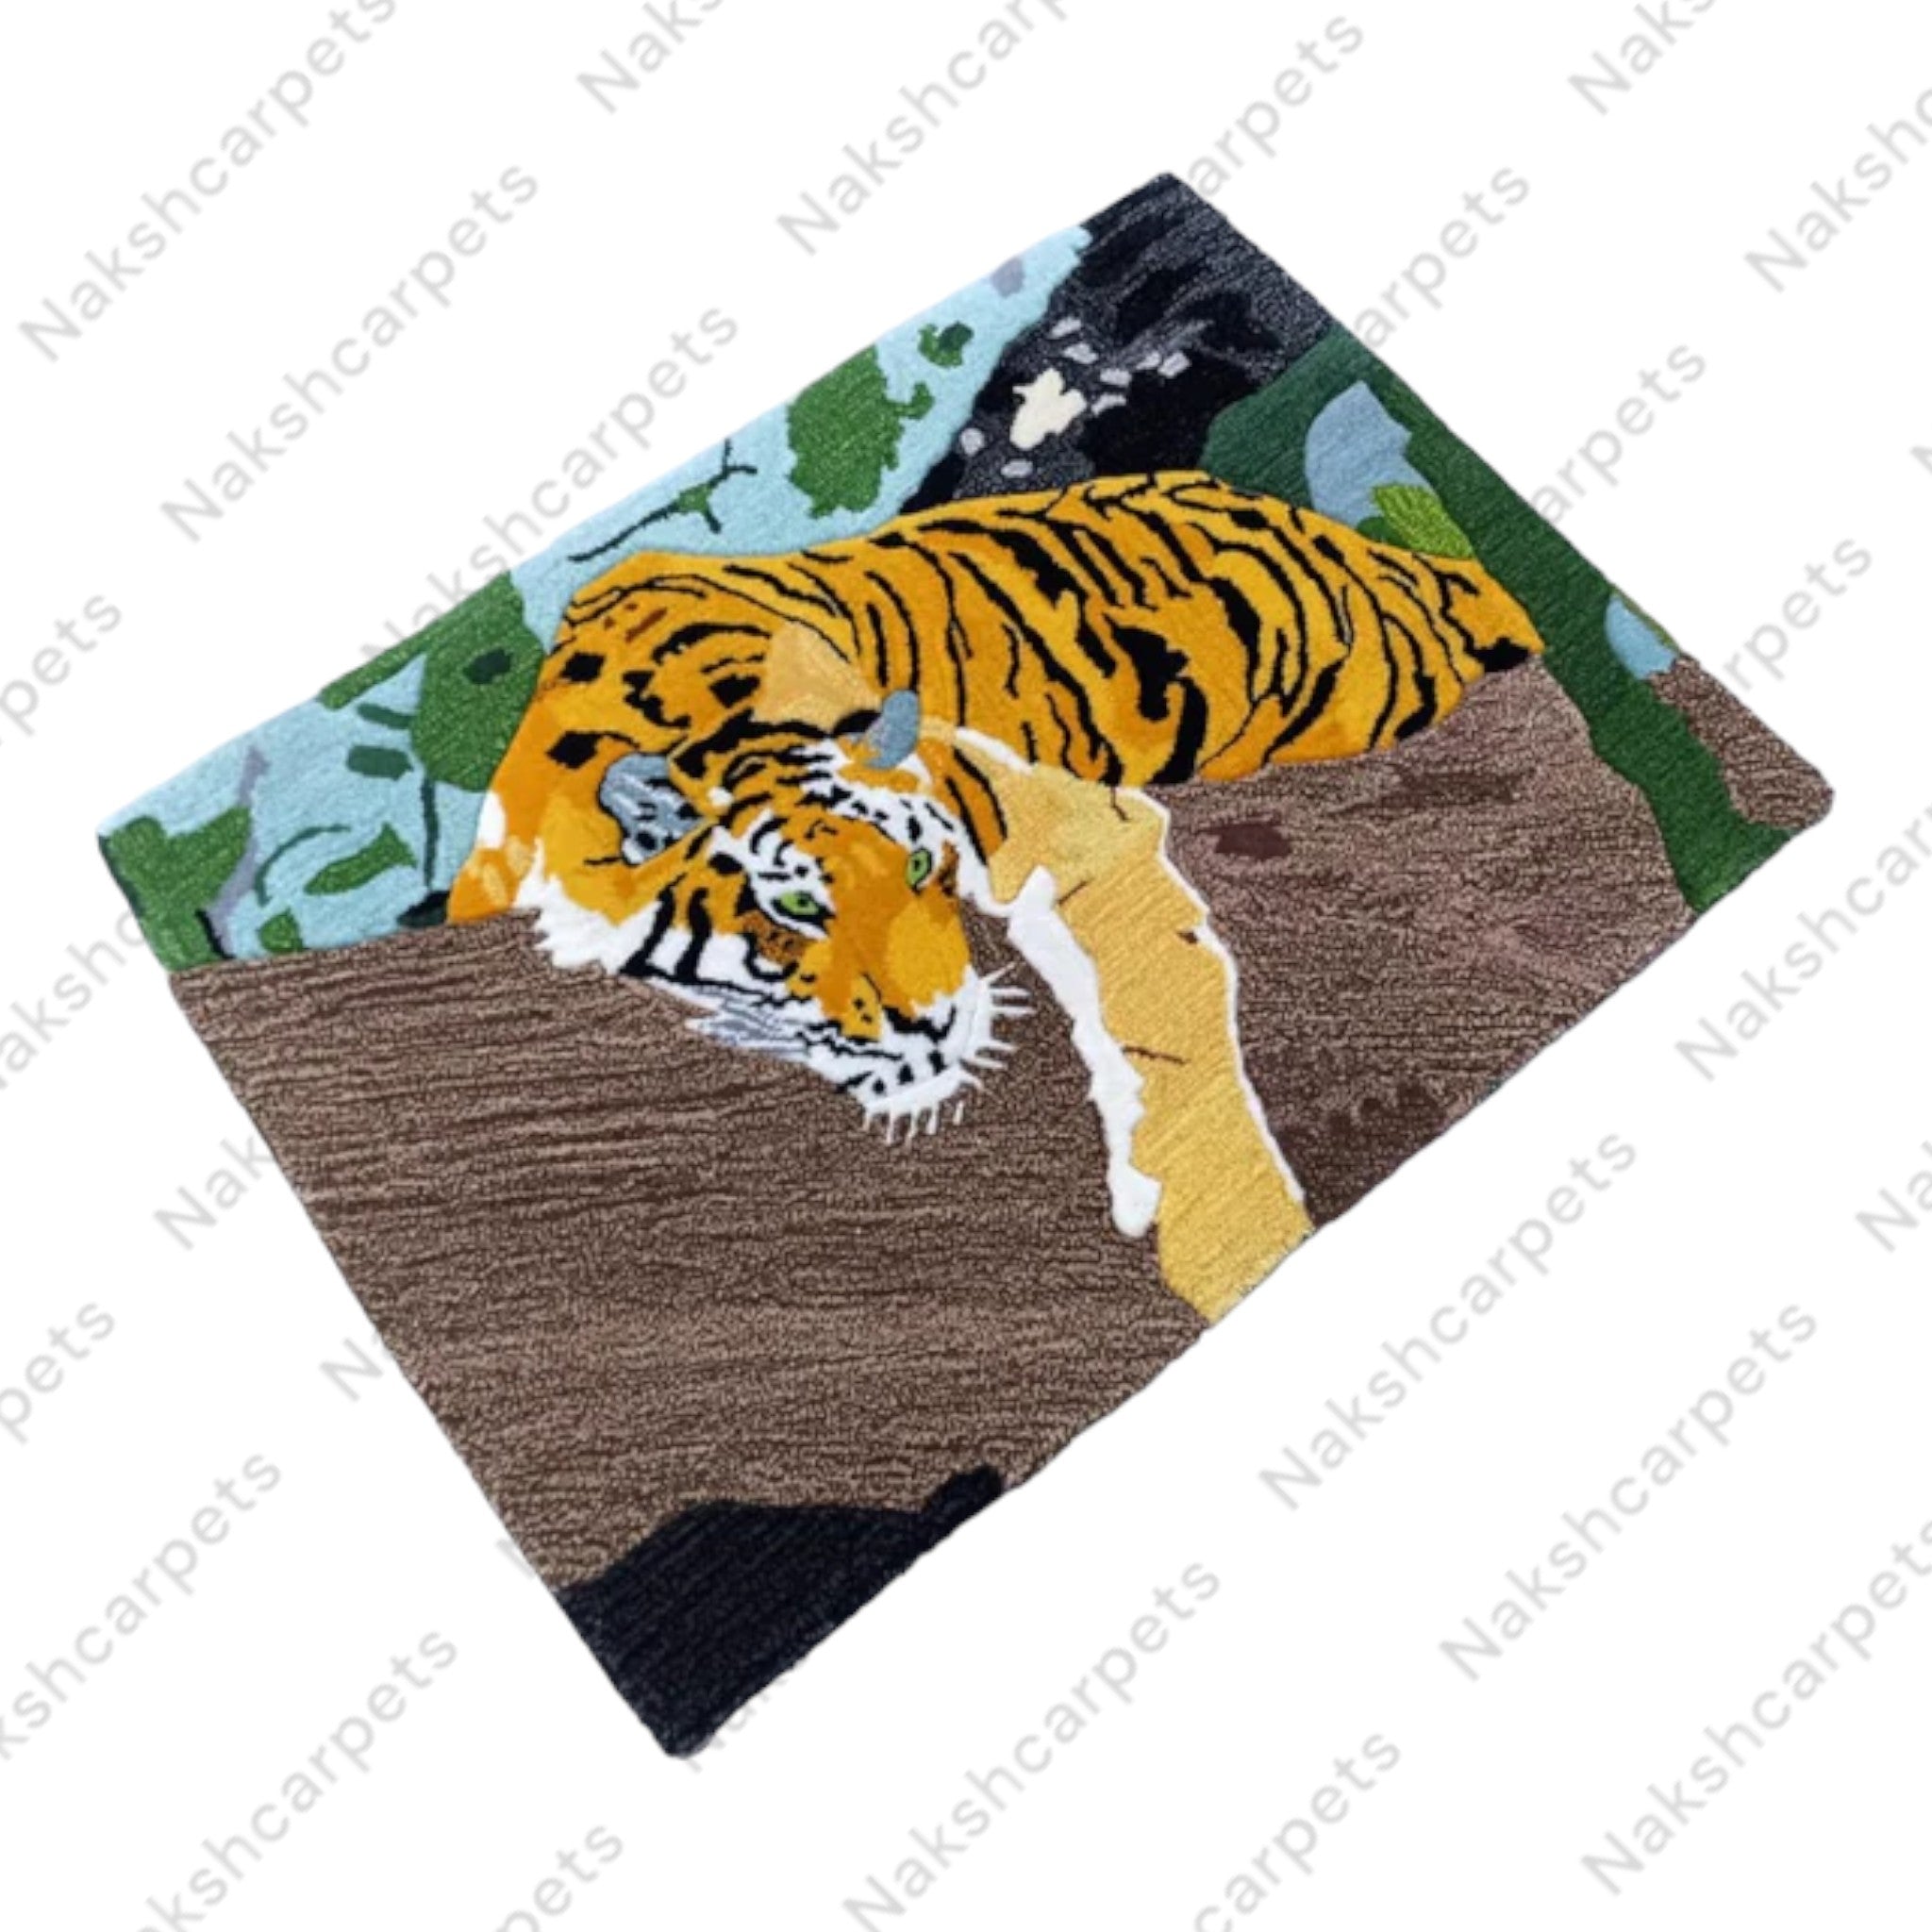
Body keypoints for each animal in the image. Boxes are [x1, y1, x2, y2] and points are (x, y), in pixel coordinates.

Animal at [450, 470, 1546, 1317]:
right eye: (796, 907)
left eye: (921, 871)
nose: (939, 1023)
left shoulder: (1065, 826)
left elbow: (1160, 1018)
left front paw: (1235, 1248)